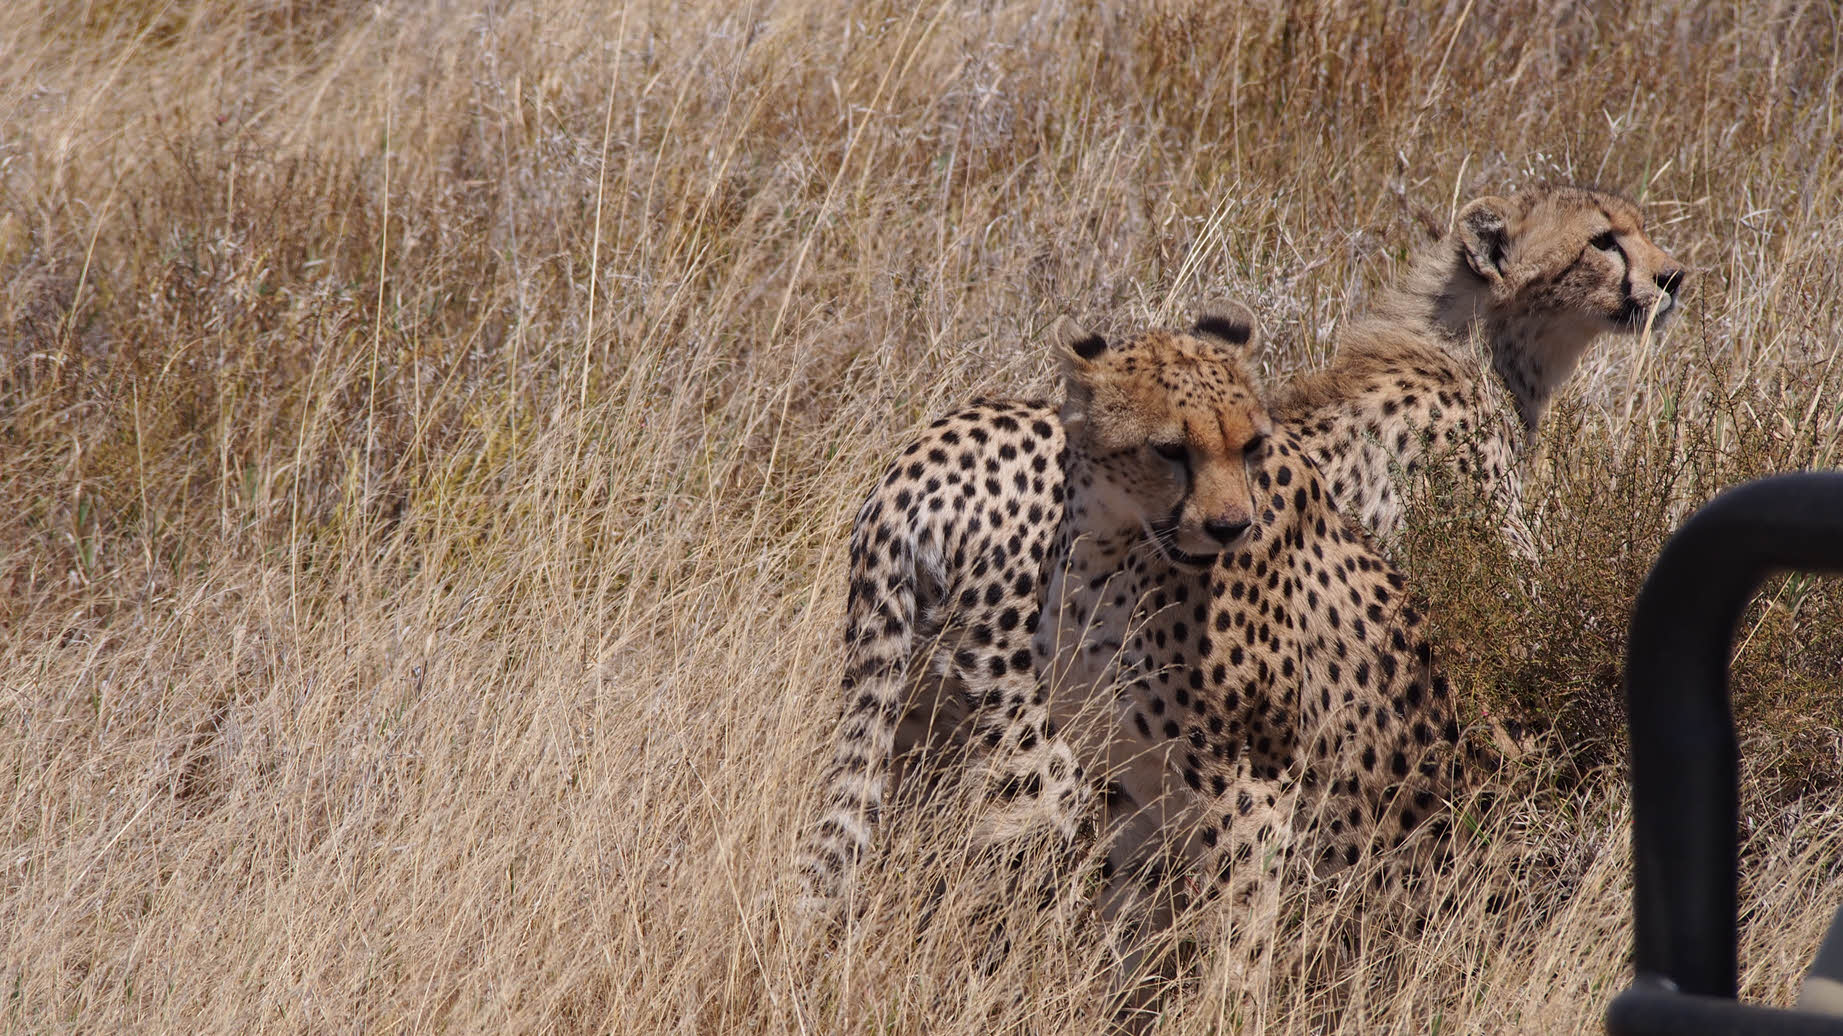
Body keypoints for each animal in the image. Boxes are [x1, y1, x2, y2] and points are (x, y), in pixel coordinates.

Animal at [795, 309, 1274, 921]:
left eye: (1251, 445)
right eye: (1168, 452)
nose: (1232, 526)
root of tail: (911, 481)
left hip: (906, 706)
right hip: (1037, 745)